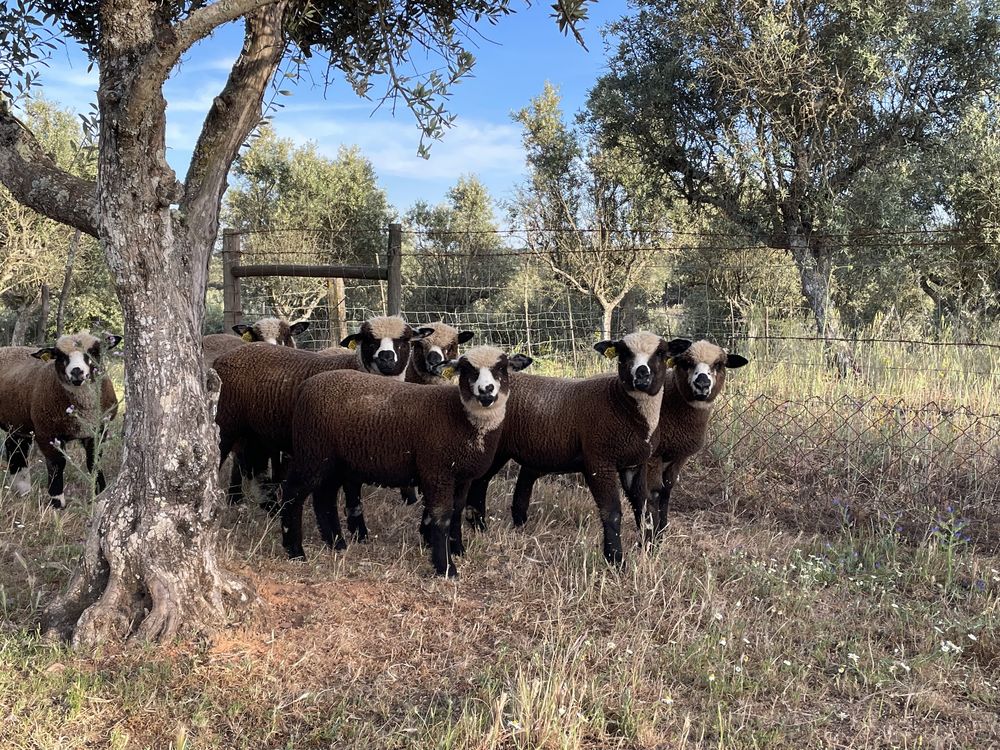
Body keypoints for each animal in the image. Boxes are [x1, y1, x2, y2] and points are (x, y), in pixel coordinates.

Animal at [0, 332, 122, 508]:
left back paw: (23, 490)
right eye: (60, 356)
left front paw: (99, 496)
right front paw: (57, 503)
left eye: (94, 351)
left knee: (16, 449)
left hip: (17, 421)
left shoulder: (98, 430)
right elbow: (56, 465)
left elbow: (94, 462)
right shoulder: (46, 433)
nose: (77, 372)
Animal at [215, 316, 426, 506]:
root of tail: (224, 357)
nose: (386, 357)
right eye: (370, 341)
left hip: (254, 432)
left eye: (404, 341)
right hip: (226, 423)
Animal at [278, 344, 536, 580]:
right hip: (312, 452)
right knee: (293, 494)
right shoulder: (437, 471)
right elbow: (441, 516)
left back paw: (337, 544)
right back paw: (295, 551)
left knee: (324, 498)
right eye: (466, 370)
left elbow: (457, 511)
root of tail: (305, 387)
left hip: (333, 461)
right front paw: (446, 567)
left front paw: (458, 549)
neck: (461, 417)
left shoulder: (463, 476)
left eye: (502, 368)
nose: (486, 391)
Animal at [466, 332, 676, 568]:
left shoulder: (634, 464)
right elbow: (611, 512)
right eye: (623, 354)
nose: (641, 373)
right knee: (480, 481)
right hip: (496, 447)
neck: (622, 406)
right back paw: (478, 526)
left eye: (661, 353)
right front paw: (615, 560)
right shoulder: (599, 462)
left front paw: (650, 548)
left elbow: (644, 505)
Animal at [644, 338, 748, 536]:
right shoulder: (653, 456)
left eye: (719, 364)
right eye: (686, 362)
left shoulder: (679, 457)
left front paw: (662, 529)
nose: (702, 384)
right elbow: (653, 493)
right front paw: (651, 535)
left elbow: (666, 491)